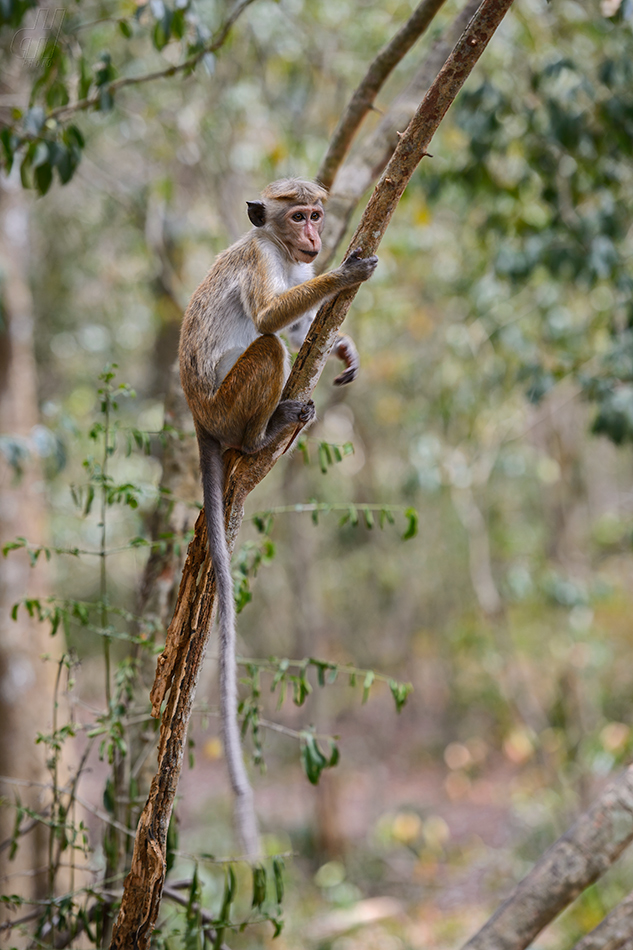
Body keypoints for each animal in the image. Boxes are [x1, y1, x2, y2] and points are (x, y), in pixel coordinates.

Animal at [175, 177, 378, 856]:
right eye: (300, 217)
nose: (315, 236)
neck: (280, 248)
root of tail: (199, 417)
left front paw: (341, 342)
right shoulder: (265, 260)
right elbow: (267, 321)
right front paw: (346, 272)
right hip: (228, 405)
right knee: (264, 348)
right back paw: (262, 436)